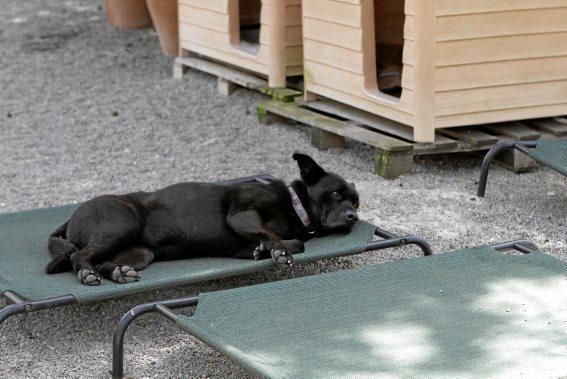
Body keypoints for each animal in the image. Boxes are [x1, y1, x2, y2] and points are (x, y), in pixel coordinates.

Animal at [46, 153, 362, 286]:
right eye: (335, 193)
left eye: (357, 202)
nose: (353, 216)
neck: (294, 205)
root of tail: (71, 217)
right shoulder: (241, 214)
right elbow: (282, 239)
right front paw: (278, 251)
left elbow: (291, 241)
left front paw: (263, 250)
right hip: (121, 225)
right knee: (78, 257)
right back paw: (88, 274)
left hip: (140, 252)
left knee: (105, 263)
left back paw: (119, 273)